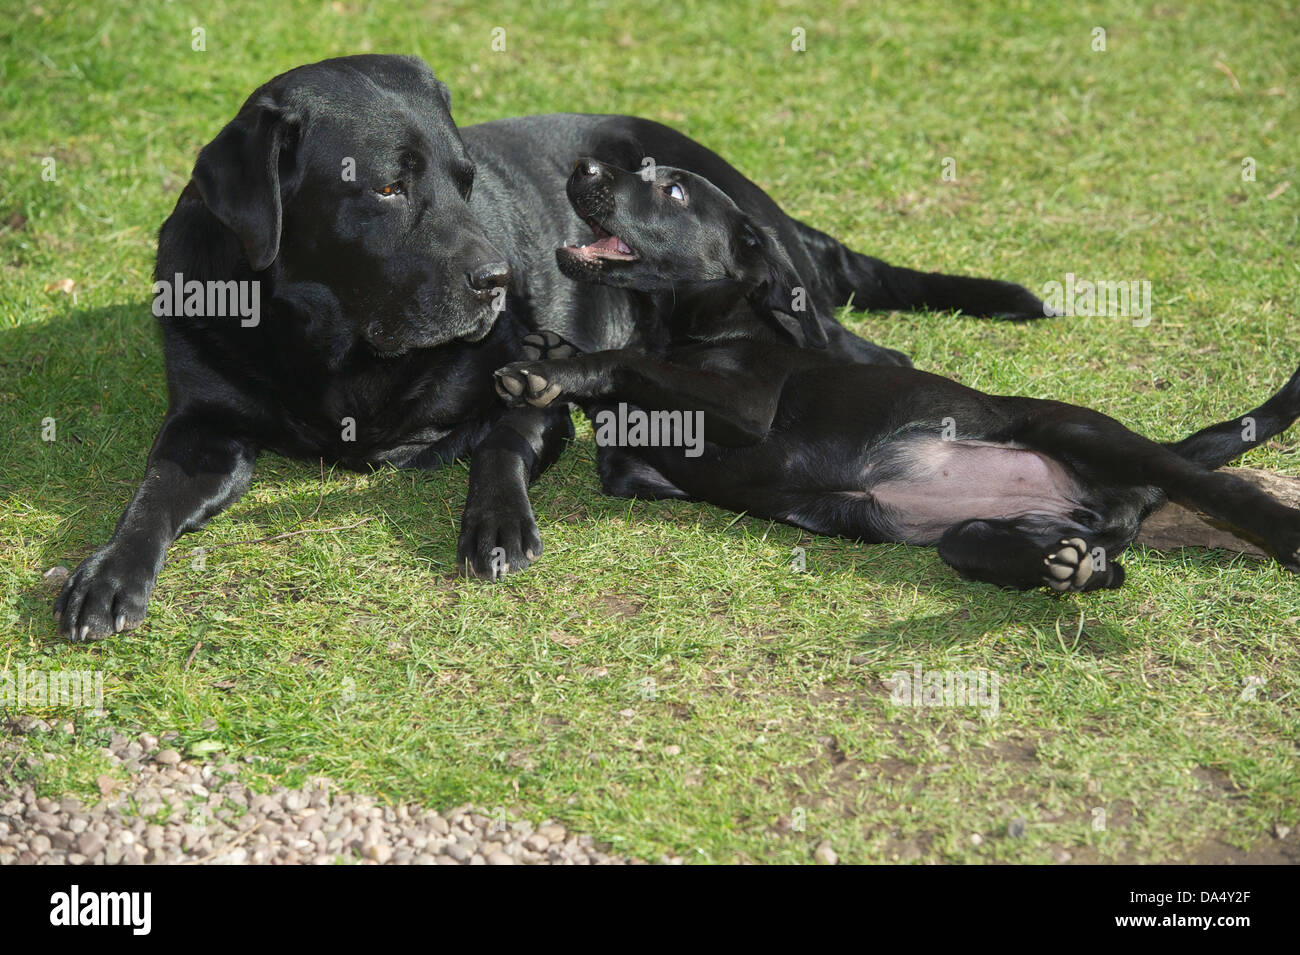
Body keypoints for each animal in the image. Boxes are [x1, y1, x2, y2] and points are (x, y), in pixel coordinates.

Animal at [55, 54, 1051, 640]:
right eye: (386, 188)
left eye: (466, 180)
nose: (498, 278)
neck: (335, 341)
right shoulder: (204, 421)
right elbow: (150, 496)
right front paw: (108, 573)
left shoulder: (526, 391)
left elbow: (504, 437)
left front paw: (496, 523)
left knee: (859, 347)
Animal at [492, 158, 1300, 591]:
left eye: (675, 193)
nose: (582, 168)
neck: (703, 325)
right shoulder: (634, 468)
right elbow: (620, 402)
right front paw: (553, 357)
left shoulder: (745, 404)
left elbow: (629, 362)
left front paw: (551, 368)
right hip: (975, 535)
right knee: (1087, 560)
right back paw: (1074, 569)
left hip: (1080, 432)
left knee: (1218, 489)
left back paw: (1277, 532)